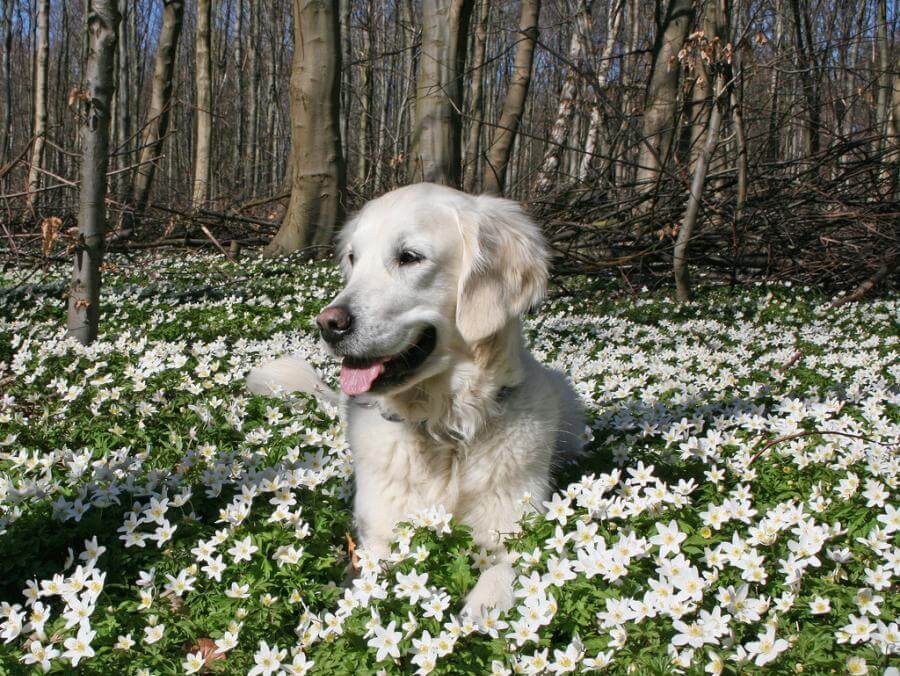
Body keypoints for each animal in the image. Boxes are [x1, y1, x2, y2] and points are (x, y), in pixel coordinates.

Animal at [246, 182, 584, 616]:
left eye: (409, 257)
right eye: (353, 258)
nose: (328, 324)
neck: (444, 430)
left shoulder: (519, 535)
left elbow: (495, 586)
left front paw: (475, 620)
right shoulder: (378, 538)